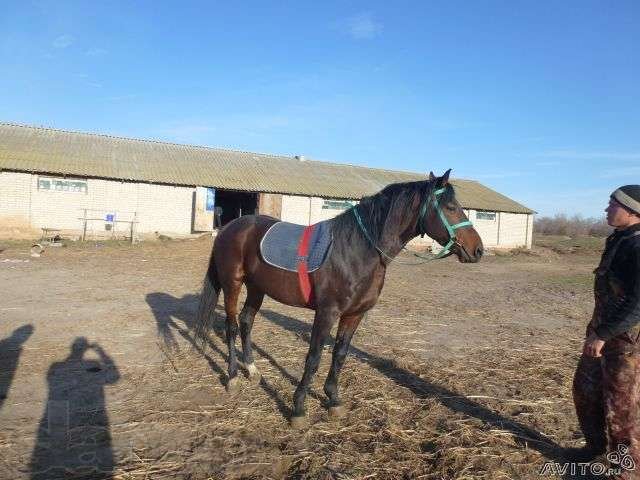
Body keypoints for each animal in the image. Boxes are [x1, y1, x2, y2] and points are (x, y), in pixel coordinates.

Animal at [195, 171, 480, 426]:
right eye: (451, 207)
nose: (477, 250)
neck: (356, 250)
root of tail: (230, 227)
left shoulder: (354, 315)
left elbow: (340, 355)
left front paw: (333, 400)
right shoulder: (327, 313)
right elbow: (314, 358)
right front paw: (298, 408)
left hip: (257, 288)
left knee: (246, 322)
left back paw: (253, 371)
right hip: (233, 284)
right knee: (232, 326)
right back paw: (232, 377)